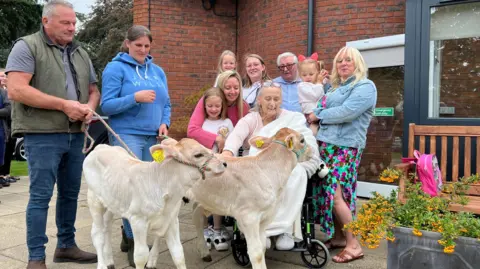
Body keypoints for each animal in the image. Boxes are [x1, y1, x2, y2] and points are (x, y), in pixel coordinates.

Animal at [82, 138, 227, 268]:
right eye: (198, 155)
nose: (224, 163)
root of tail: (101, 147)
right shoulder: (138, 221)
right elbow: (140, 256)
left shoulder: (171, 220)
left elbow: (178, 253)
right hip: (94, 201)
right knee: (98, 234)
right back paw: (102, 264)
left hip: (111, 203)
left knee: (107, 228)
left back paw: (109, 261)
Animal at [188, 127, 312, 268]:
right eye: (302, 140)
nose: (312, 151)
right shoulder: (248, 217)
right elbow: (256, 252)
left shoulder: (266, 216)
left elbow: (262, 246)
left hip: (202, 199)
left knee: (197, 219)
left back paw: (205, 253)